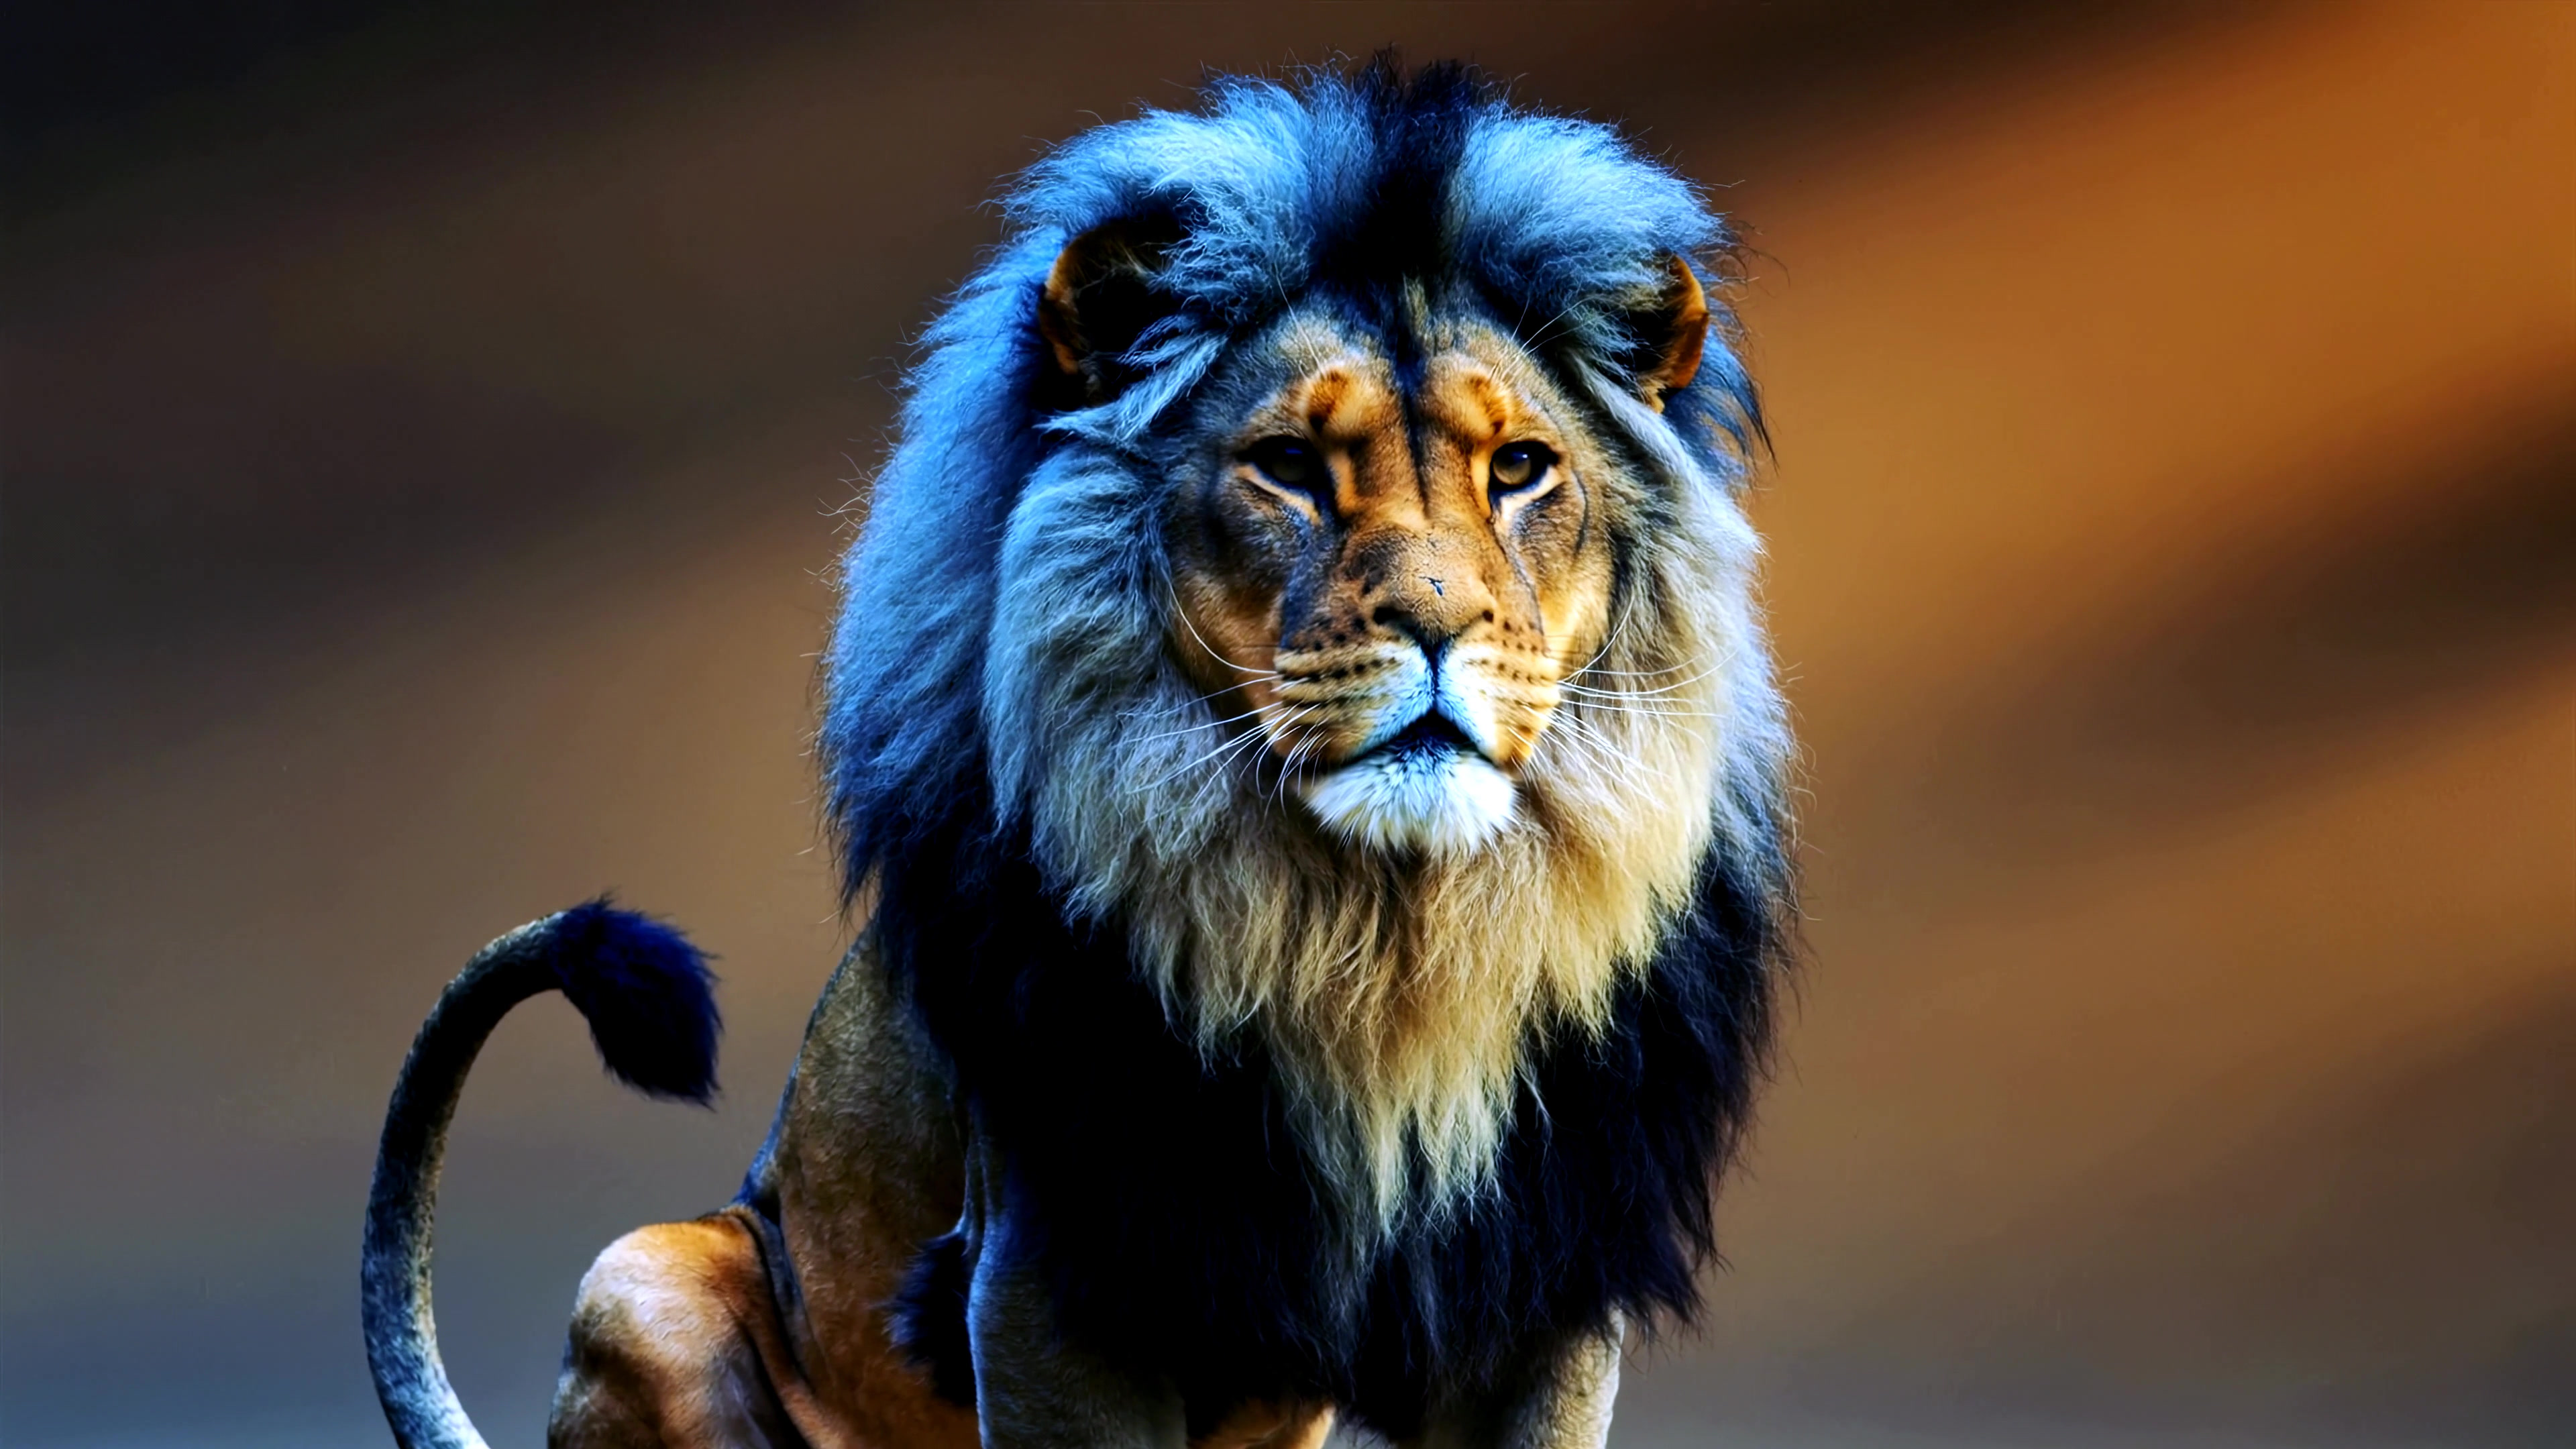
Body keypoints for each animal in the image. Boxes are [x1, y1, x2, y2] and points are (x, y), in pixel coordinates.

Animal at [361, 60, 1794, 1449]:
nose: (1436, 623)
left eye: (1521, 470)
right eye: (1287, 468)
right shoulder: (1053, 1272)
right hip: (640, 1276)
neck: (1383, 939)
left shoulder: (1552, 1281)